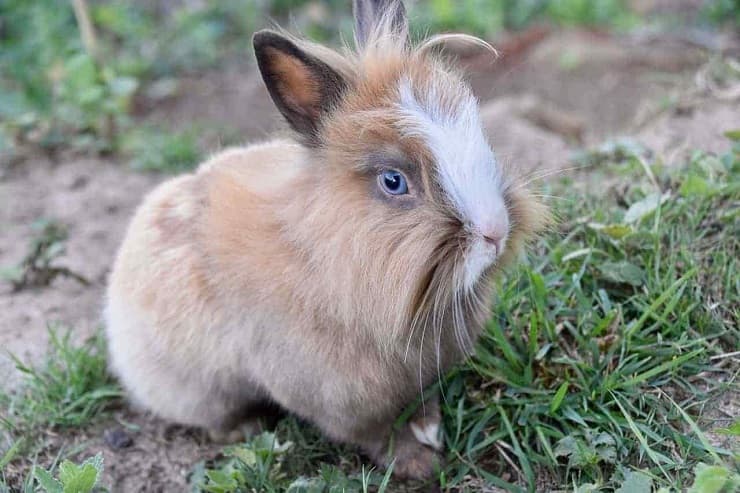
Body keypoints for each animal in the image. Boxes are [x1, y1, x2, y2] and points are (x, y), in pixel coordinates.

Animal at [104, 0, 548, 480]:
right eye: (393, 181)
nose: (495, 232)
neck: (327, 257)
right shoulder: (338, 399)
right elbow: (376, 434)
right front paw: (419, 464)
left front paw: (430, 427)